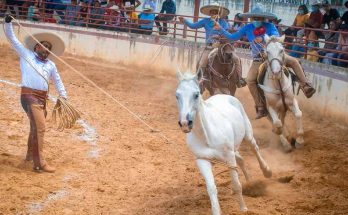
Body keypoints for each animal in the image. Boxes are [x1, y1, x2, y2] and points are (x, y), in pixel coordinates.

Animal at [177, 69, 272, 214]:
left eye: (196, 94)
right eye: (177, 95)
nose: (185, 123)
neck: (207, 136)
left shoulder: (229, 156)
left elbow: (236, 184)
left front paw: (243, 208)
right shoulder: (202, 160)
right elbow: (211, 188)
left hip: (247, 136)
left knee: (255, 149)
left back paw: (266, 171)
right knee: (241, 160)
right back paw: (250, 183)